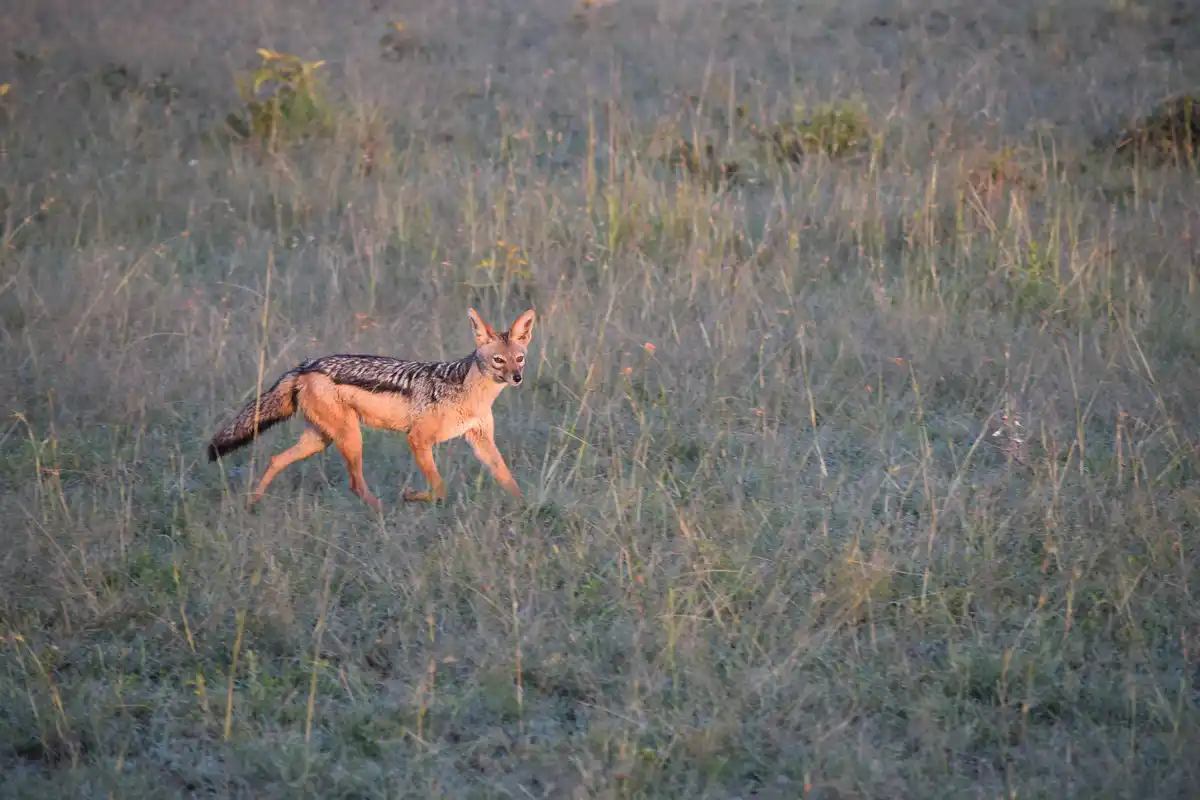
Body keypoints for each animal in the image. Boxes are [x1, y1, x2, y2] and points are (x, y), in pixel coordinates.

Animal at [207, 307, 535, 511]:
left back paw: (252, 502)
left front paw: (524, 510)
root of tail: (306, 365)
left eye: (519, 359)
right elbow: (439, 488)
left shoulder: (480, 440)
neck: (472, 394)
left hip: (321, 440)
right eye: (498, 361)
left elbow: (509, 480)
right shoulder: (417, 440)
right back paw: (384, 511)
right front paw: (411, 496)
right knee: (355, 485)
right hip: (350, 438)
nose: (517, 378)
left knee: (276, 460)